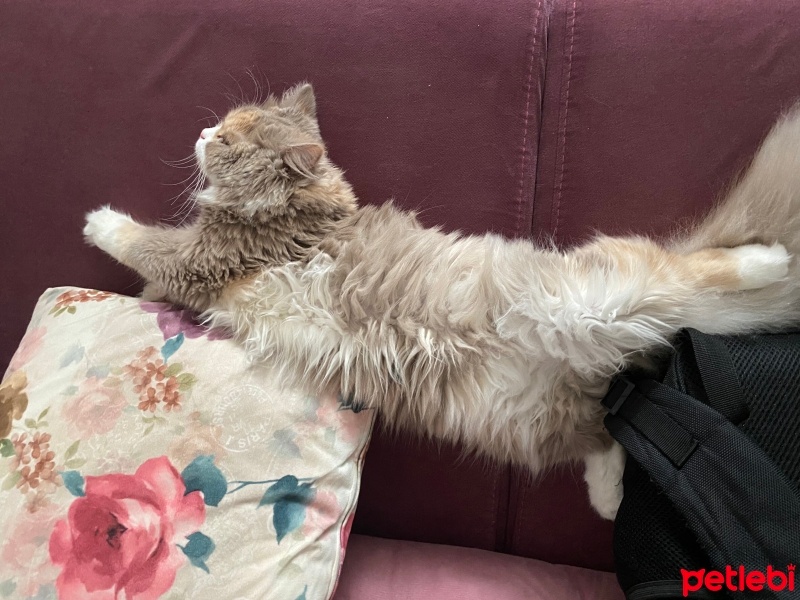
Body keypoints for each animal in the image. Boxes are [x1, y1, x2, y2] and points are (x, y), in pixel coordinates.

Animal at [84, 82, 800, 516]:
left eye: (231, 140)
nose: (204, 132)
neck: (302, 209)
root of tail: (585, 356)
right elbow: (155, 274)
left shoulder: (206, 259)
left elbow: (145, 242)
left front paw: (99, 221)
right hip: (534, 420)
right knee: (605, 437)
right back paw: (609, 499)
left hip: (605, 296)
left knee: (693, 274)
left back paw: (767, 259)